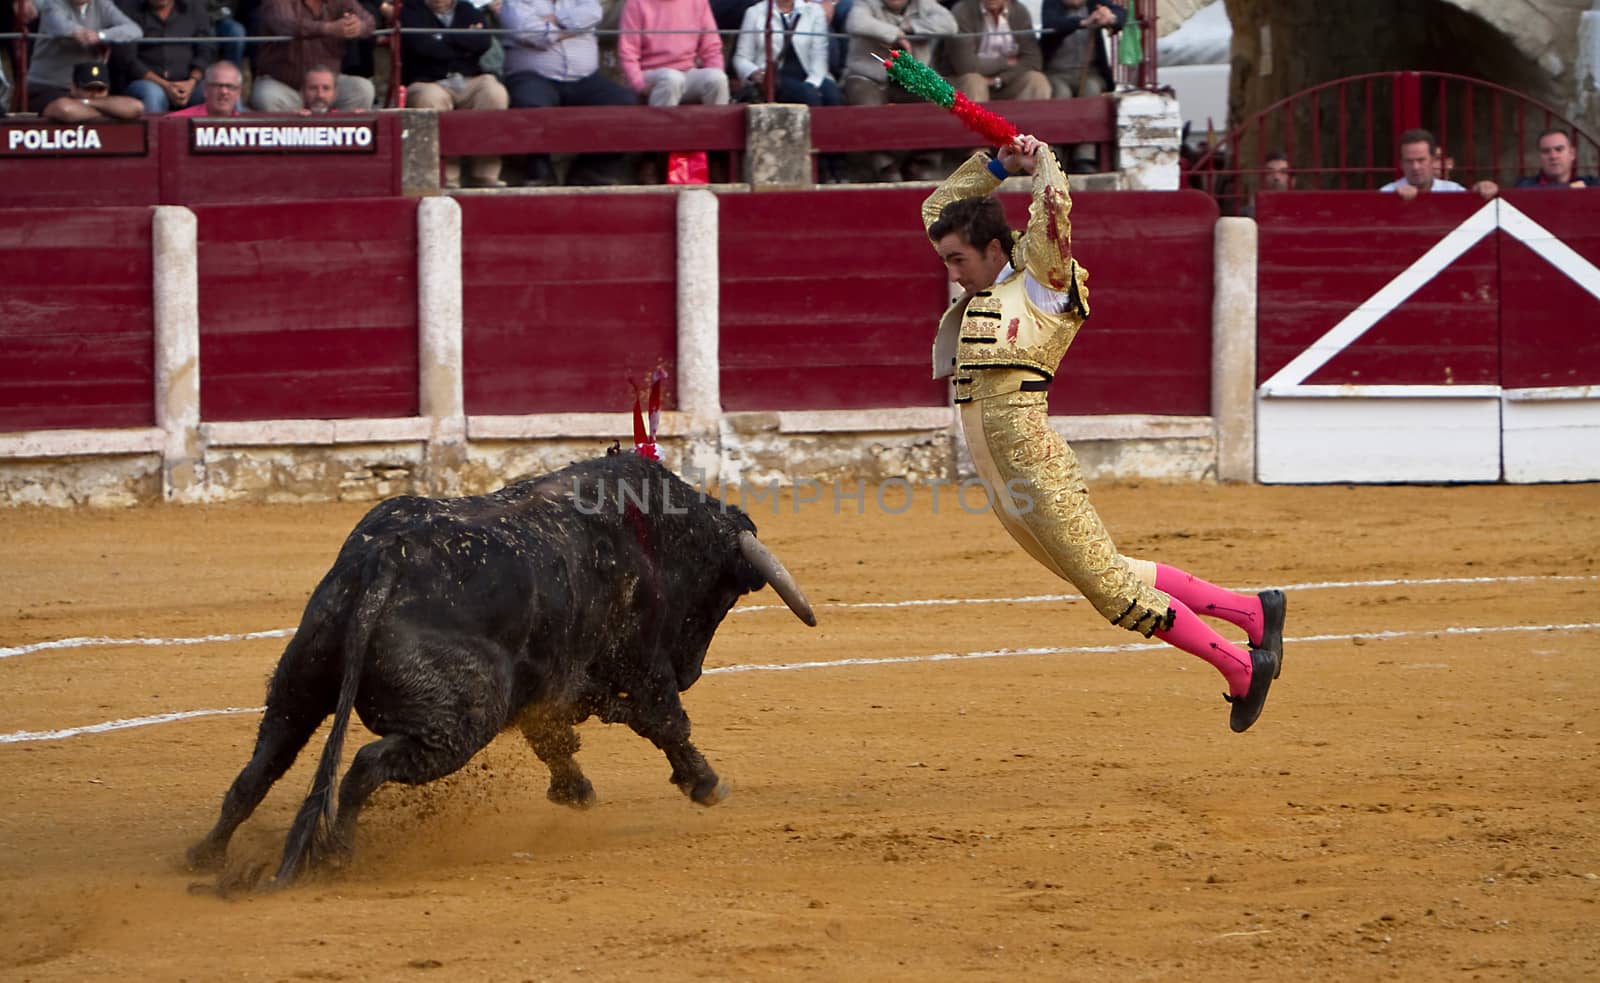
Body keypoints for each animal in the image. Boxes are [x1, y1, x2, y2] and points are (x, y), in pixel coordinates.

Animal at [183, 457, 819, 890]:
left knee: (260, 768)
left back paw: (203, 856)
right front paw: (705, 783)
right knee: (363, 767)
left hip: (301, 681)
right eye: (725, 593)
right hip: (458, 723)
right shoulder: (637, 663)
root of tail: (384, 560)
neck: (650, 532)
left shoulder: (551, 683)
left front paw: (575, 791)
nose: (692, 669)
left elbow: (553, 736)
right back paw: (338, 853)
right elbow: (665, 720)